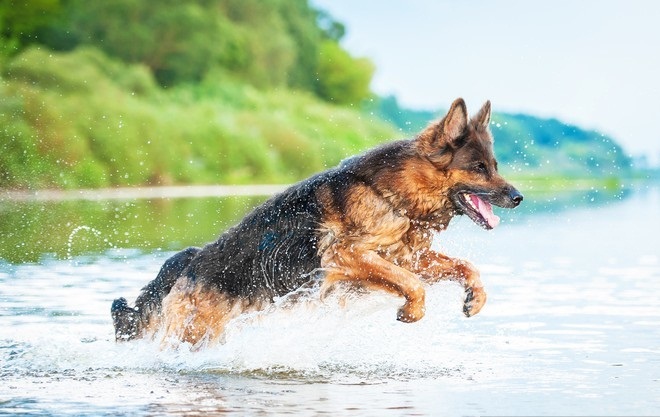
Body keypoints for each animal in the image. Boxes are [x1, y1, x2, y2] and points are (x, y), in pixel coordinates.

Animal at [112, 97, 520, 344]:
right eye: (479, 169)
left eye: (495, 166)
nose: (517, 197)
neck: (391, 193)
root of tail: (187, 263)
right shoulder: (347, 256)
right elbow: (411, 283)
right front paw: (412, 311)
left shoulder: (404, 257)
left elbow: (464, 266)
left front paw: (476, 298)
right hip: (194, 334)